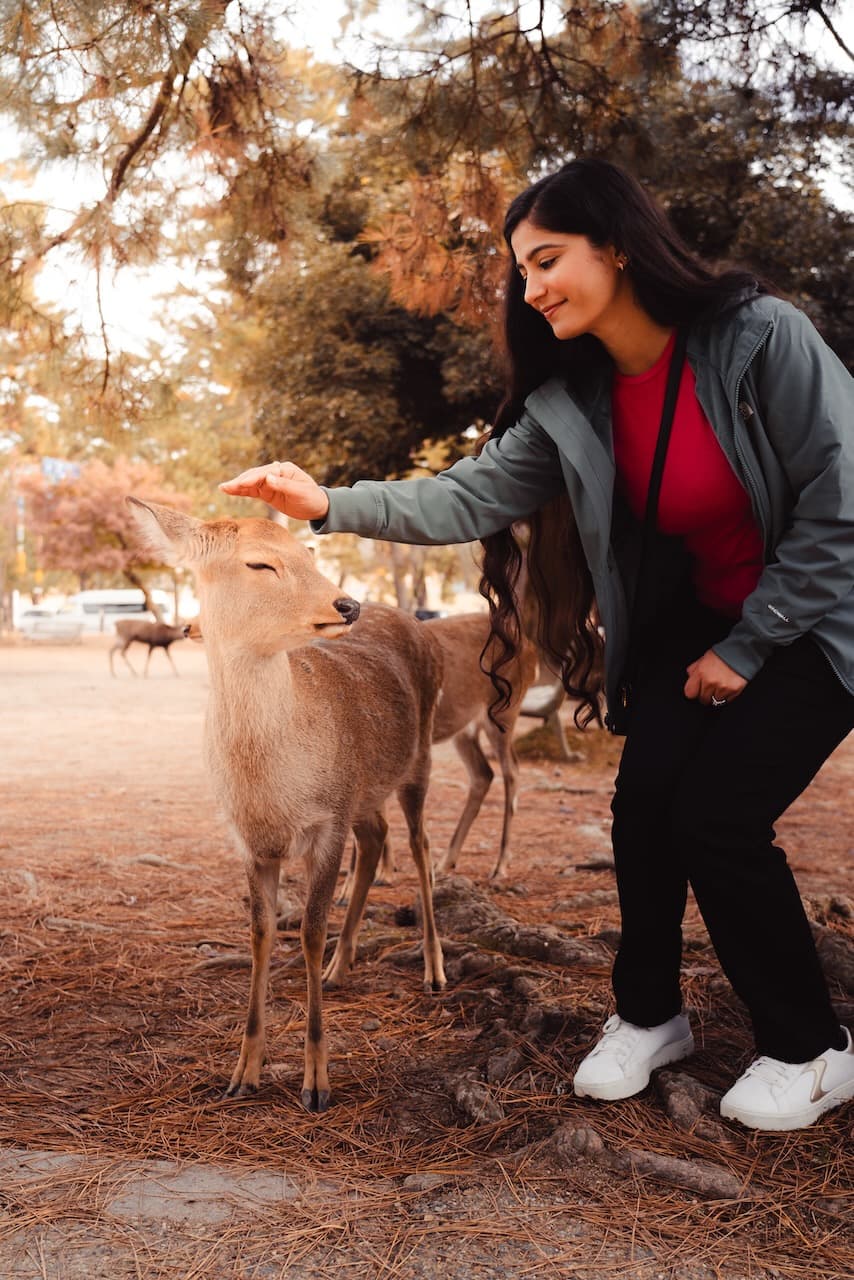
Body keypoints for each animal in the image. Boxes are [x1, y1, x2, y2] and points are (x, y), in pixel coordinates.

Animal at [128, 494, 448, 1116]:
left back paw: (433, 970)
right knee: (376, 840)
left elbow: (309, 931)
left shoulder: (326, 820)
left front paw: (317, 1081)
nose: (347, 604)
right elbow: (260, 934)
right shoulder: (251, 838)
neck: (271, 787)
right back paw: (341, 967)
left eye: (309, 552)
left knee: (420, 845)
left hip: (418, 754)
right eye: (259, 563)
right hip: (363, 792)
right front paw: (242, 1072)